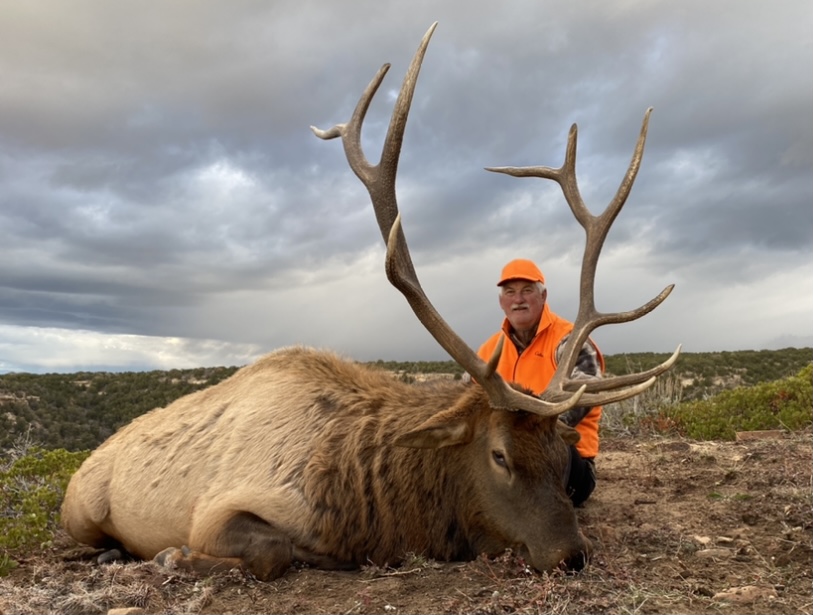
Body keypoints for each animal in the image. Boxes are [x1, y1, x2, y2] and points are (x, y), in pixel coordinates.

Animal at [60, 22, 680, 581]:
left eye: (560, 453)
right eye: (500, 455)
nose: (571, 554)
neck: (369, 506)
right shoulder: (217, 508)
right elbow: (271, 552)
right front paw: (173, 557)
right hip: (79, 507)